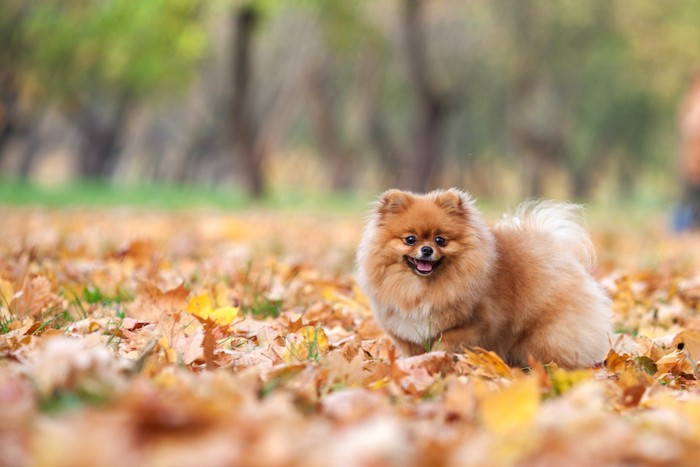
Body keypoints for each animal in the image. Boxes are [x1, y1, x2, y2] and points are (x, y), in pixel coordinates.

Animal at [358, 187, 608, 370]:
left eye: (440, 240)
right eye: (410, 239)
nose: (427, 249)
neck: (421, 289)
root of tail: (552, 246)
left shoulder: (476, 323)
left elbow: (445, 341)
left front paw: (439, 358)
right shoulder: (404, 331)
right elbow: (414, 352)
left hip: (547, 334)